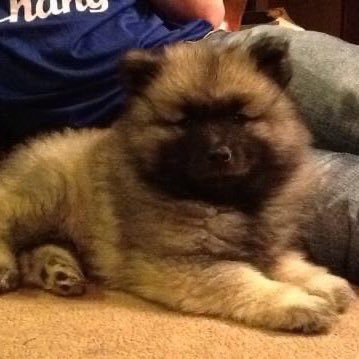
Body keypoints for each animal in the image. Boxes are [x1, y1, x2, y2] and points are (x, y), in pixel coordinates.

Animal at [0, 36, 354, 332]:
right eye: (186, 121)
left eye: (238, 118)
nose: (219, 154)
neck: (228, 202)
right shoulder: (184, 265)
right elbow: (241, 280)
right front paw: (297, 303)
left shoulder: (269, 245)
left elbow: (289, 264)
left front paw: (325, 284)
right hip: (45, 195)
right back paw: (8, 268)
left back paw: (59, 271)